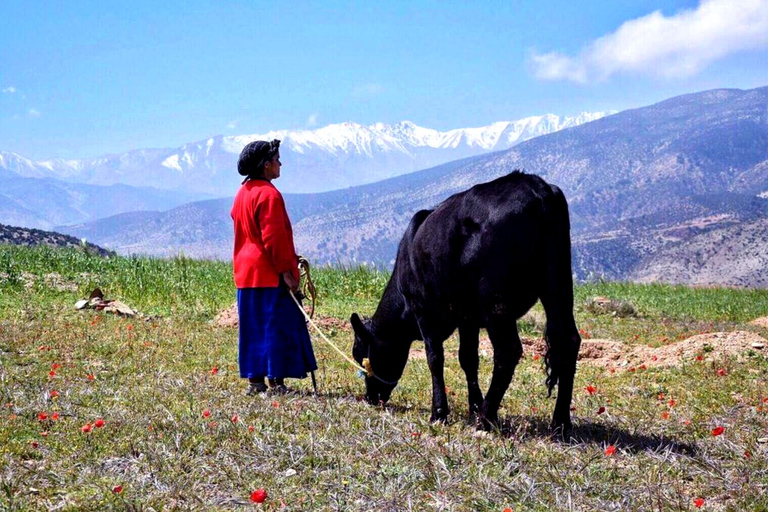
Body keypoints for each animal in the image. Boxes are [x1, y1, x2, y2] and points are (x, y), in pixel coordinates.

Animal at [352, 172, 580, 432]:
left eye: (361, 357)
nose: (370, 397)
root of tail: (535, 185)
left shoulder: (424, 310)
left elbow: (435, 358)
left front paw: (439, 413)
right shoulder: (467, 317)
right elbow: (468, 359)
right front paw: (473, 405)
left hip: (496, 300)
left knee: (508, 351)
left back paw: (486, 418)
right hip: (558, 285)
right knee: (568, 341)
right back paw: (560, 422)